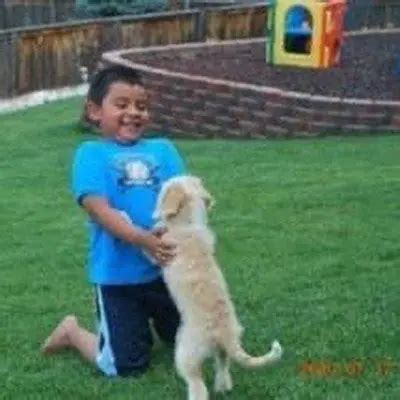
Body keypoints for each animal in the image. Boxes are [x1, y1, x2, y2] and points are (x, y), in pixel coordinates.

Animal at [154, 175, 283, 400]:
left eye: (166, 186)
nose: (158, 182)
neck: (188, 224)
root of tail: (226, 334)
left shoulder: (162, 251)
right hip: (220, 350)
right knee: (223, 367)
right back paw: (223, 387)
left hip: (187, 352)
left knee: (196, 383)